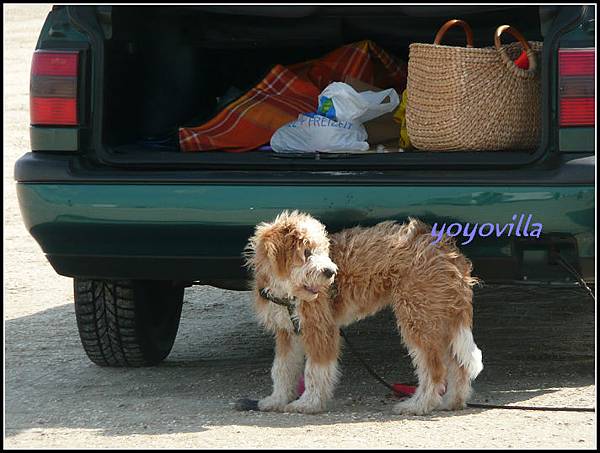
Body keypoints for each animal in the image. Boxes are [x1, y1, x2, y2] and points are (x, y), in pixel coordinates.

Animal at [244, 210, 482, 414]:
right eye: (306, 252)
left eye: (323, 251)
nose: (331, 272)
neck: (286, 292)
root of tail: (447, 250)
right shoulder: (287, 333)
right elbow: (282, 369)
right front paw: (277, 400)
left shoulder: (321, 330)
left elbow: (315, 371)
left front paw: (309, 403)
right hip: (438, 318)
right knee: (458, 366)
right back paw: (452, 401)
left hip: (418, 318)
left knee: (434, 369)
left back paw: (419, 404)